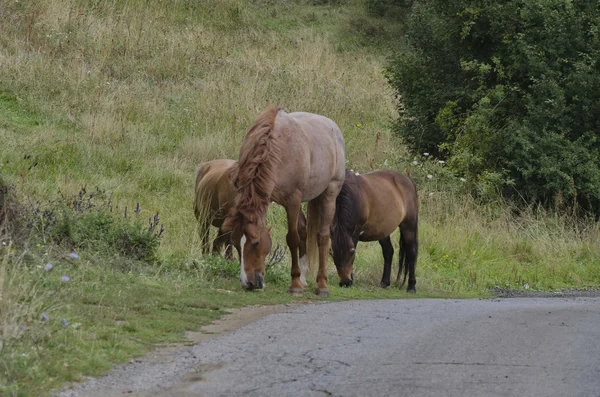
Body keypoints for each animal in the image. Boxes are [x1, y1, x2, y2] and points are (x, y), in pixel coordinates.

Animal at [220, 104, 344, 294]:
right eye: (235, 243)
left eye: (255, 243)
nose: (247, 283)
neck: (277, 148)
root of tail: (333, 128)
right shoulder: (285, 201)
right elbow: (298, 234)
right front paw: (298, 279)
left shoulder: (292, 200)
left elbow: (292, 238)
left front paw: (295, 285)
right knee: (304, 230)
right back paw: (304, 276)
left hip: (330, 193)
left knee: (322, 236)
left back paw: (321, 284)